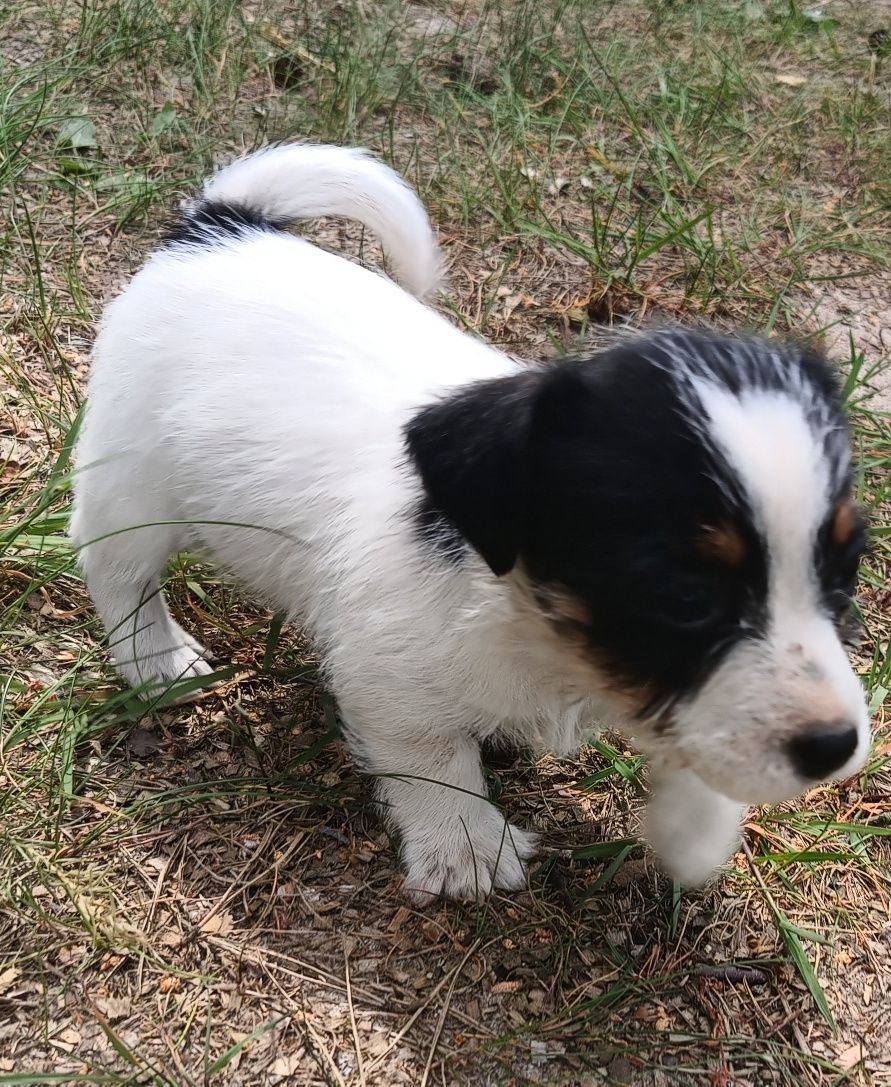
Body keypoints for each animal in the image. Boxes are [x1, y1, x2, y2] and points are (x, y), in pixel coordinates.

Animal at [71, 144, 869, 900]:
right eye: (684, 597)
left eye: (841, 574)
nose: (834, 745)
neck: (539, 633)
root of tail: (220, 226)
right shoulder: (387, 673)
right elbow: (432, 757)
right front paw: (467, 848)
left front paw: (693, 832)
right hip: (132, 483)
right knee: (115, 568)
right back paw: (158, 660)